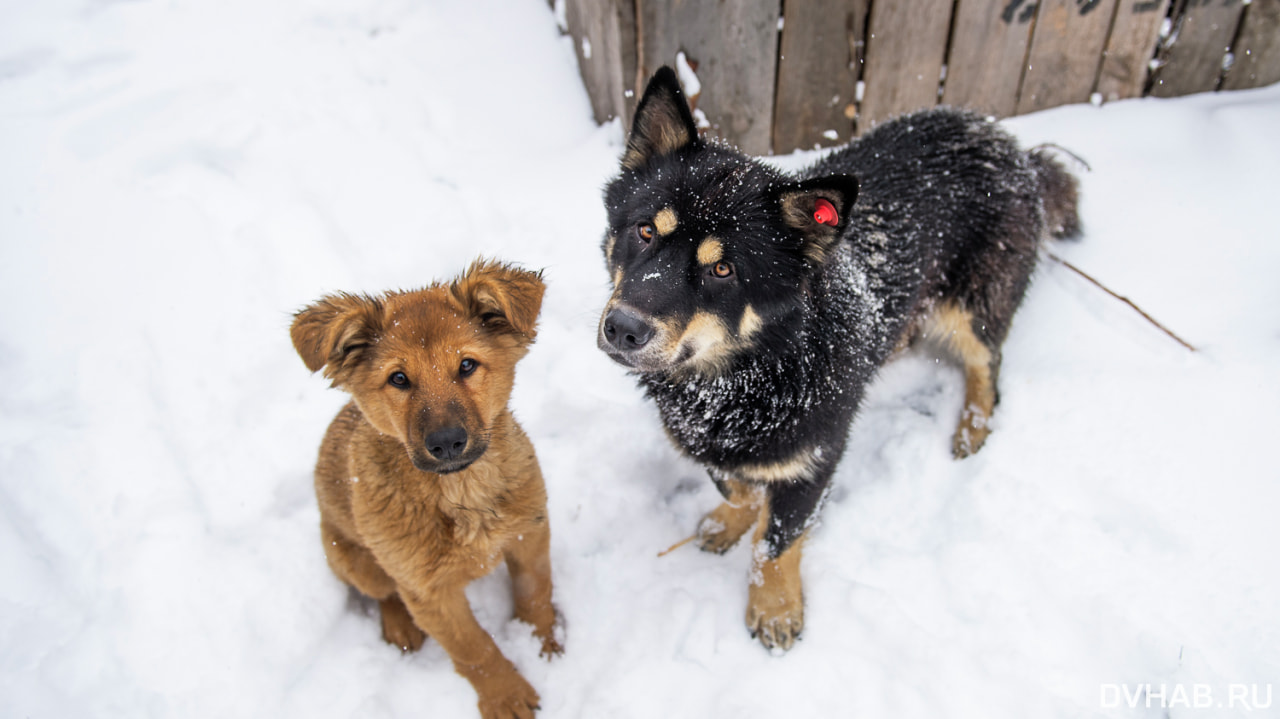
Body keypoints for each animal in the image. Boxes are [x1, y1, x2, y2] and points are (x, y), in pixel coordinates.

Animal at [295, 258, 565, 716]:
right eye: (399, 378)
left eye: (467, 365)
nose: (447, 443)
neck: (461, 494)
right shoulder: (427, 592)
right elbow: (475, 648)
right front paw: (506, 696)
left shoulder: (529, 532)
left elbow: (534, 592)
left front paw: (542, 642)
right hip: (353, 559)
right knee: (384, 593)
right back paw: (399, 628)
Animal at [599, 67, 1080, 649]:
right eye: (645, 230)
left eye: (723, 270)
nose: (622, 329)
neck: (755, 369)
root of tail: (1011, 145)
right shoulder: (714, 442)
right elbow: (736, 484)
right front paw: (731, 520)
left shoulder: (816, 456)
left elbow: (778, 541)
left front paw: (775, 607)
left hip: (973, 307)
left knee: (987, 365)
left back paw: (973, 426)